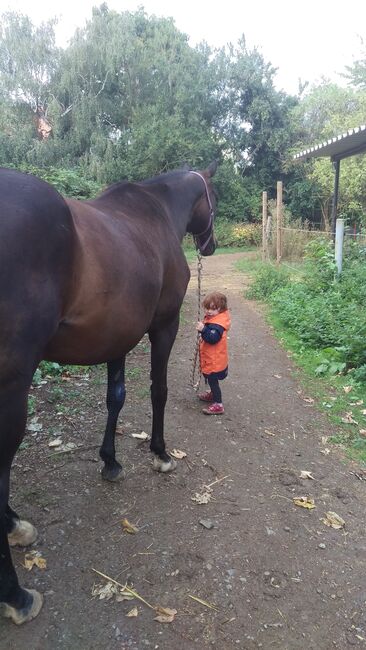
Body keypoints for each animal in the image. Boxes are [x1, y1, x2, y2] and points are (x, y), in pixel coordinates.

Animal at [0, 159, 217, 620]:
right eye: (214, 196)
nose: (211, 245)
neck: (157, 213)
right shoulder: (164, 326)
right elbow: (158, 390)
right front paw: (160, 453)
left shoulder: (117, 336)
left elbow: (115, 398)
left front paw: (111, 461)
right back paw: (17, 596)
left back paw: (15, 526)